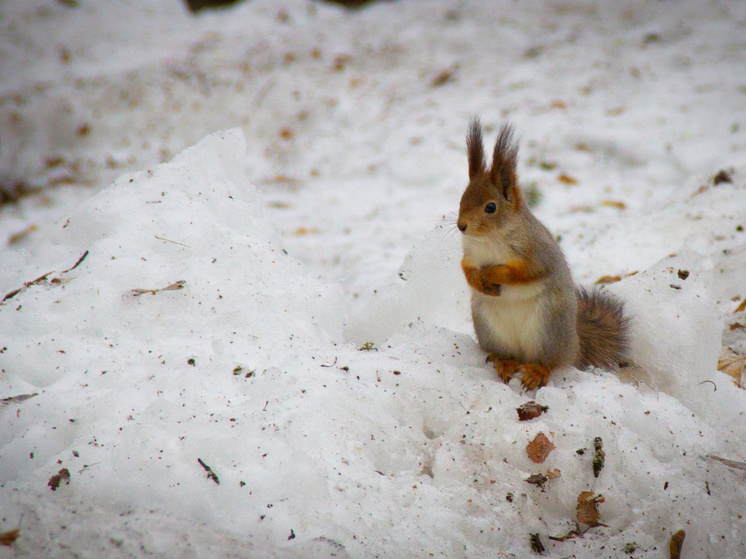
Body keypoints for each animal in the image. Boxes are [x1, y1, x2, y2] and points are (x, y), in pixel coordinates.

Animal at [456, 118, 624, 390]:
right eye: (461, 199)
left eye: (490, 207)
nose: (461, 226)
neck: (490, 239)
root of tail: (575, 345)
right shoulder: (469, 254)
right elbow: (467, 269)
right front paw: (478, 281)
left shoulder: (538, 253)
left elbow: (525, 273)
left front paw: (493, 273)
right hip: (489, 327)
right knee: (508, 354)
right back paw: (505, 362)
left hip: (549, 328)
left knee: (550, 361)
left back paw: (536, 371)